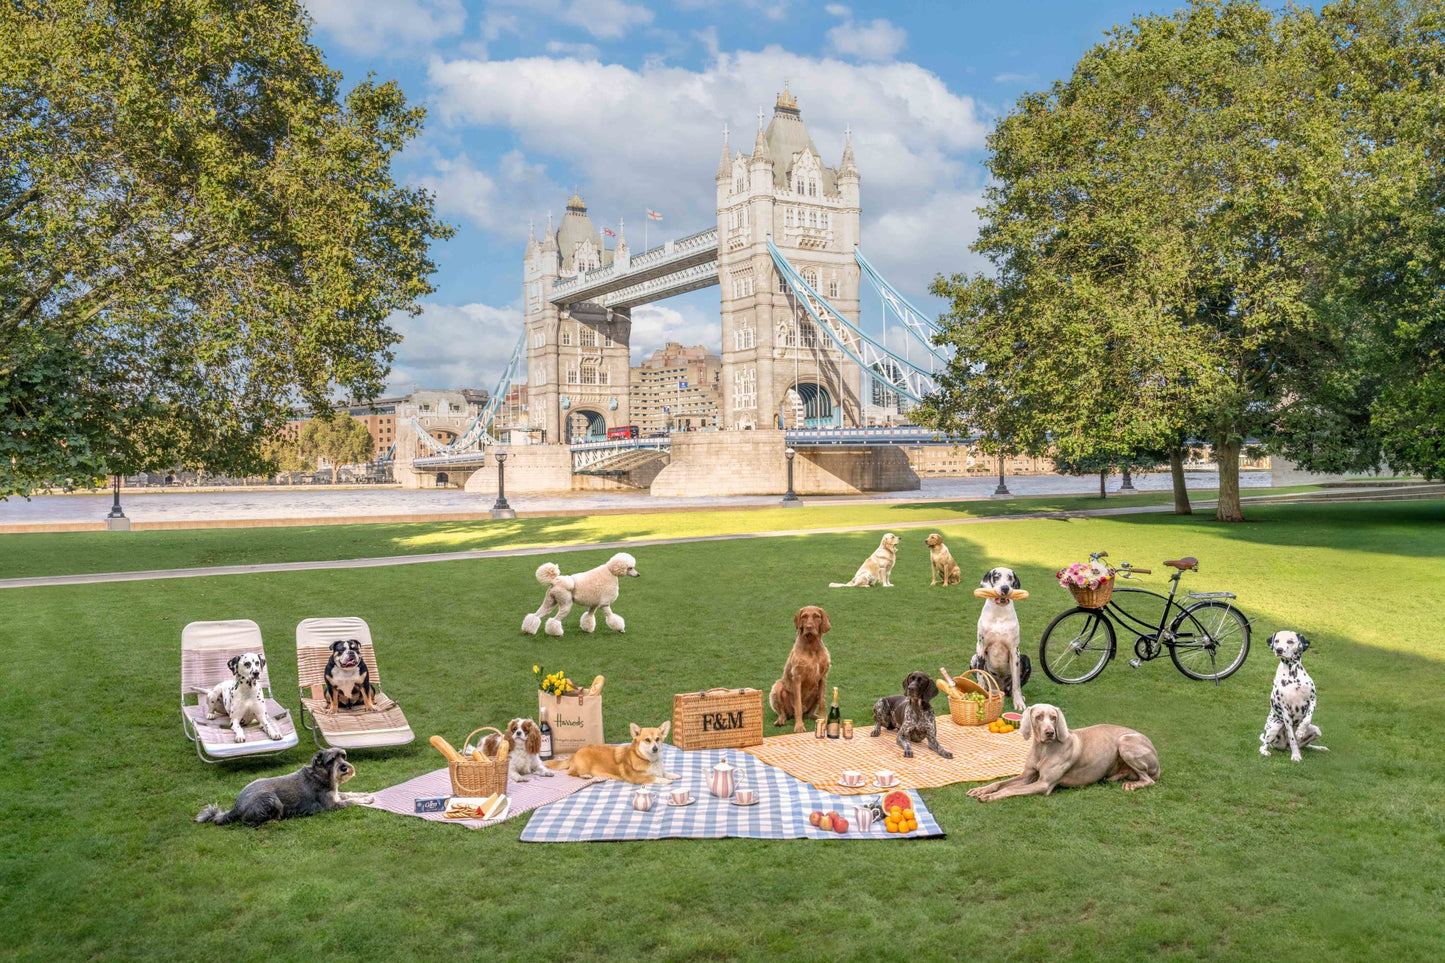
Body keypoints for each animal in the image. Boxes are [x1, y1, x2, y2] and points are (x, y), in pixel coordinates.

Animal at [543, 717, 679, 786]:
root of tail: (575, 754)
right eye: (647, 740)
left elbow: (664, 772)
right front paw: (667, 780)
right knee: (571, 772)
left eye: (657, 739)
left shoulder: (659, 770)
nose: (655, 748)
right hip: (582, 766)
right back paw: (585, 775)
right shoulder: (637, 778)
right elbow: (654, 778)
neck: (648, 759)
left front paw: (673, 775)